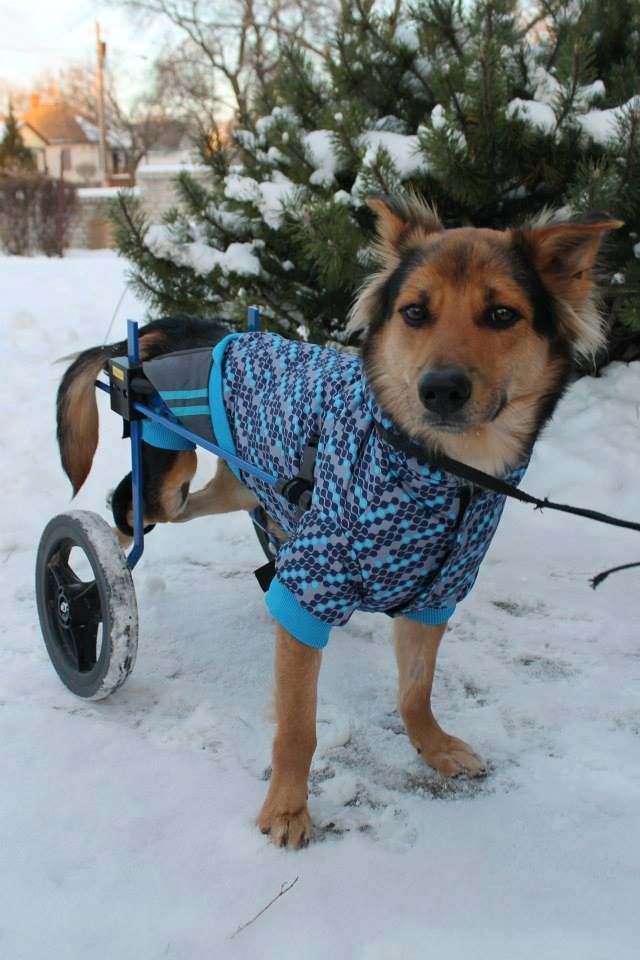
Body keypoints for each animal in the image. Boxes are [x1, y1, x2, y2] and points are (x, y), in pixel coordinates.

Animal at [56, 196, 621, 848]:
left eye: (503, 313)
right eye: (415, 312)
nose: (441, 389)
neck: (441, 468)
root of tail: (166, 328)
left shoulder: (436, 593)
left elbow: (415, 692)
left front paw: (434, 747)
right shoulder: (311, 589)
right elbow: (298, 727)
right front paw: (286, 808)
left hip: (241, 476)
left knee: (224, 500)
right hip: (164, 469)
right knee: (125, 509)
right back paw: (96, 569)